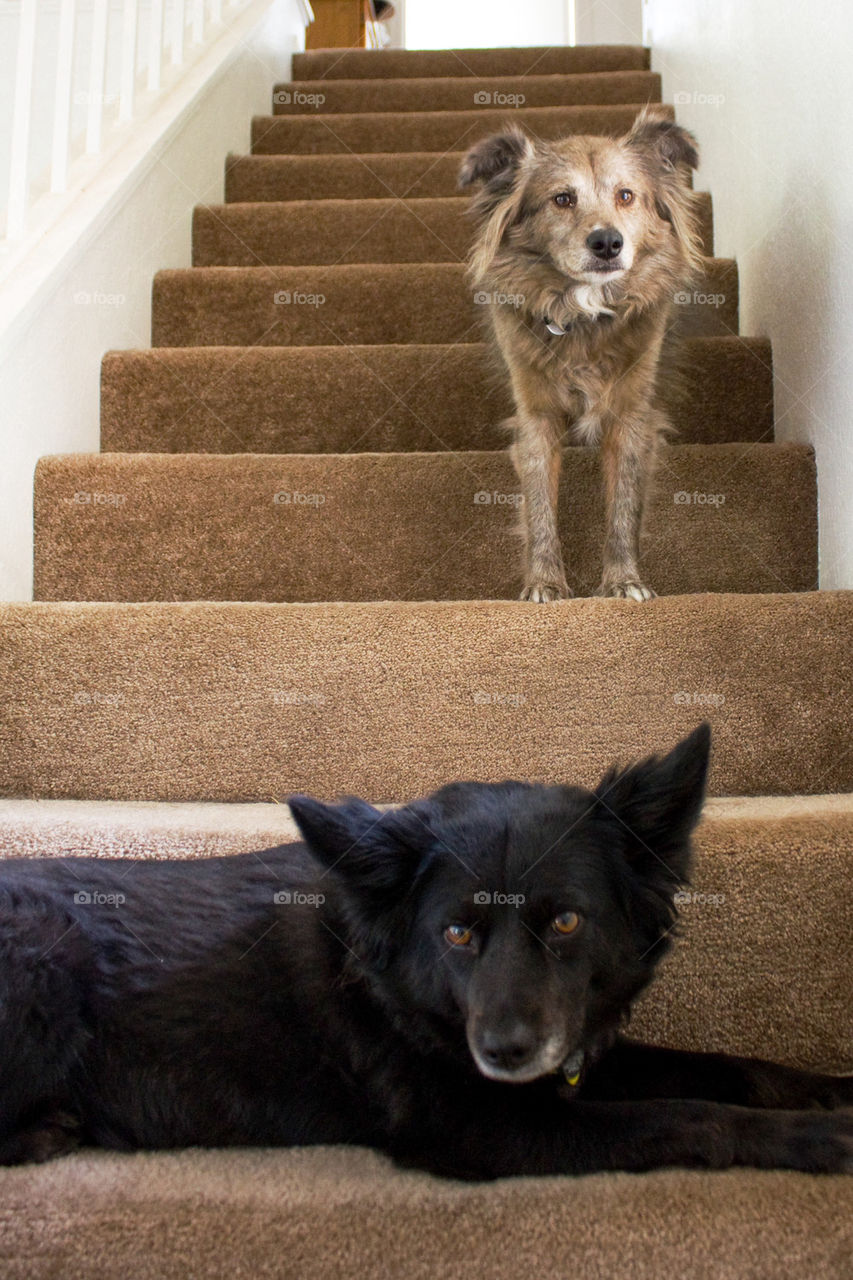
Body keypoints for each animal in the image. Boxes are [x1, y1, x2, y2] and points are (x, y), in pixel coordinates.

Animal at [1, 727, 850, 1172]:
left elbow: (719, 1067)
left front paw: (828, 1088)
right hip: (44, 962)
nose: (505, 1052)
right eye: (456, 933)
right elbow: (684, 1115)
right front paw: (813, 1138)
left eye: (566, 922)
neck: (395, 992)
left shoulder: (574, 1053)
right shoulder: (483, 1129)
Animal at [461, 107, 701, 601]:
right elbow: (539, 506)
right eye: (562, 199)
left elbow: (624, 506)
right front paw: (544, 582)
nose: (607, 243)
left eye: (626, 195)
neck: (584, 313)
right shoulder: (535, 415)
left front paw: (624, 581)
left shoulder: (631, 414)